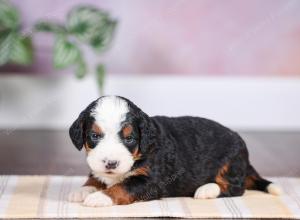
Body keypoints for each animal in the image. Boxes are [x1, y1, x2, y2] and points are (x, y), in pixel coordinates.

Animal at [67, 95, 282, 207]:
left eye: (129, 138)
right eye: (94, 136)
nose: (111, 163)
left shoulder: (151, 181)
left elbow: (123, 186)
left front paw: (100, 197)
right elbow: (96, 177)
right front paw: (83, 189)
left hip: (230, 163)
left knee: (236, 188)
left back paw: (206, 190)